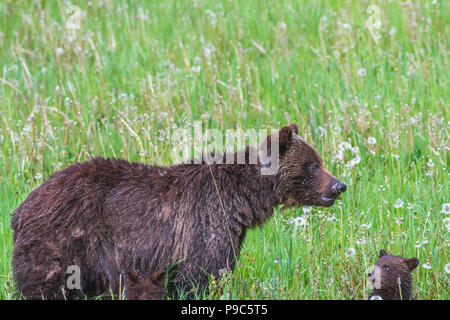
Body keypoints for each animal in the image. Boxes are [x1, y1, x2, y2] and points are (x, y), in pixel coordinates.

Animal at [12, 124, 346, 298]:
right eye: (313, 165)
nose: (339, 186)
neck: (242, 200)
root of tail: (21, 208)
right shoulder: (206, 225)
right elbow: (198, 275)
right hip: (62, 242)